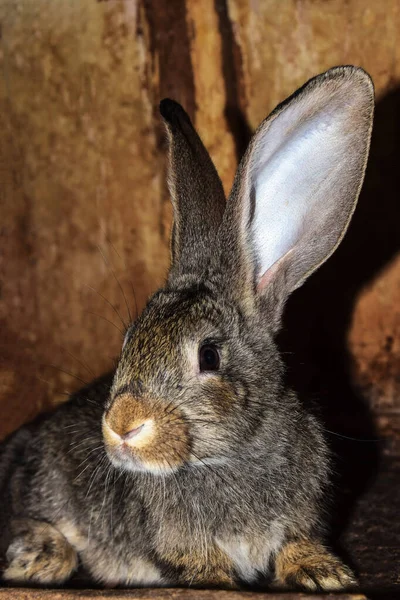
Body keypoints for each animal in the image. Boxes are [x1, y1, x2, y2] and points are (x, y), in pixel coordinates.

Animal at [0, 65, 376, 592]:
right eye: (128, 341)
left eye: (209, 356)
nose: (122, 426)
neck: (228, 455)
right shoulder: (182, 549)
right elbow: (206, 571)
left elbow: (295, 543)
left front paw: (324, 574)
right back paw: (38, 556)